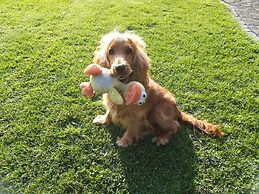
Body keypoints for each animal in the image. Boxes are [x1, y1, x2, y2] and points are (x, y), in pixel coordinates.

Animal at [87, 30, 223, 147]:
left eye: (129, 50)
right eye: (111, 51)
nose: (120, 67)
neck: (121, 88)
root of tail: (177, 110)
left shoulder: (136, 115)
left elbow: (132, 127)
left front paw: (125, 140)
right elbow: (109, 112)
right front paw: (103, 120)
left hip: (159, 112)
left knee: (174, 126)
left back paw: (161, 138)